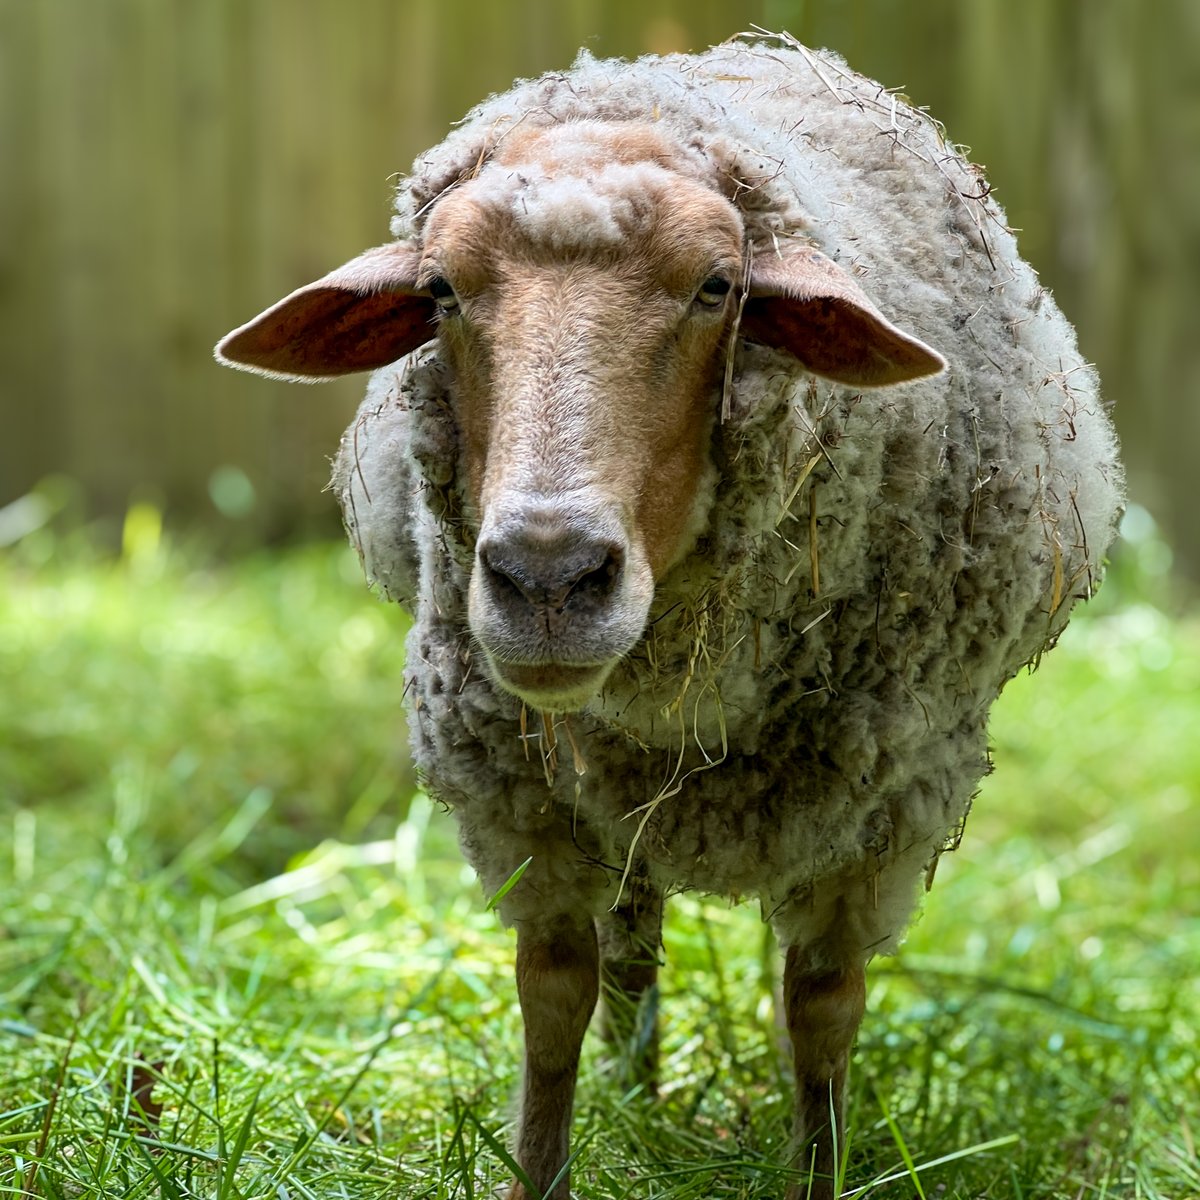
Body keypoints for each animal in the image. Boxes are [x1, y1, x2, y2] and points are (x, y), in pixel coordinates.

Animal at [216, 32, 1123, 1195]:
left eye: (716, 286)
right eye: (440, 290)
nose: (547, 577)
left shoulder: (884, 805)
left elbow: (823, 1009)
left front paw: (816, 1171)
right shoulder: (523, 796)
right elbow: (555, 994)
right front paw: (543, 1168)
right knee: (632, 946)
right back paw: (635, 1089)